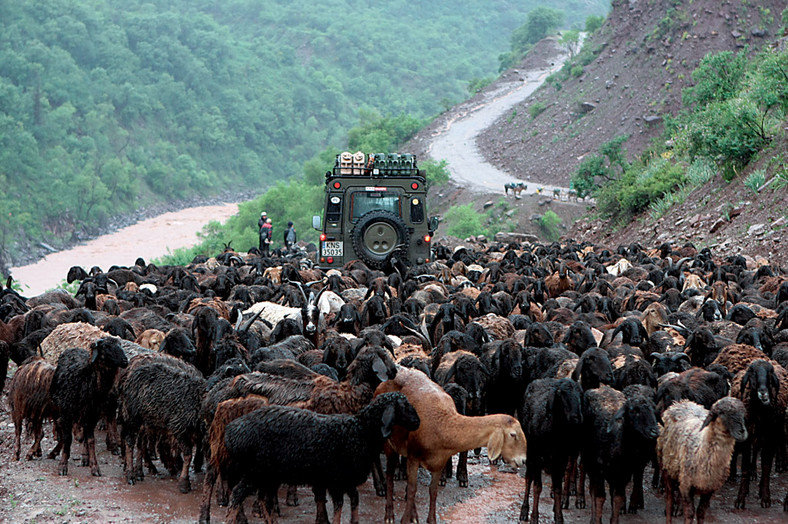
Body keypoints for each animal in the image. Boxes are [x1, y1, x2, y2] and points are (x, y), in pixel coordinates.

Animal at [49, 338, 129, 476]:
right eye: (106, 347)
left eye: (120, 345)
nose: (125, 361)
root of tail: (74, 348)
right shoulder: (66, 413)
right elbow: (67, 439)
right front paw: (63, 466)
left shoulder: (93, 415)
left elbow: (91, 440)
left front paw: (94, 466)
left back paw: (85, 456)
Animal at [222, 392, 418, 524]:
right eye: (404, 406)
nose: (418, 422)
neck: (360, 431)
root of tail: (231, 432)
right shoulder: (336, 480)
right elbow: (339, 506)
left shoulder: (347, 480)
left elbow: (354, 500)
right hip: (256, 471)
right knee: (237, 495)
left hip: (269, 475)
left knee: (264, 500)